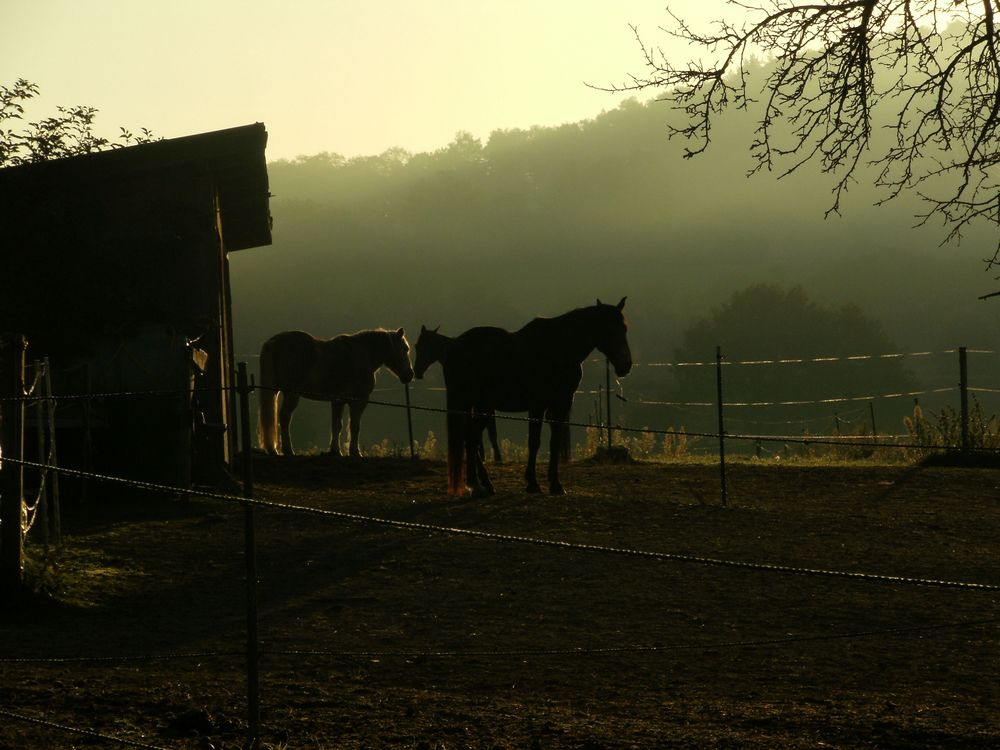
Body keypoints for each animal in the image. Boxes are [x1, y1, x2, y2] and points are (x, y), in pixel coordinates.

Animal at [260, 330, 416, 458]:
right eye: (405, 348)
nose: (409, 375)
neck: (362, 354)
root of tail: (275, 341)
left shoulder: (338, 401)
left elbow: (337, 425)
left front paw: (335, 451)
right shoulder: (359, 401)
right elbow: (355, 426)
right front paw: (355, 452)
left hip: (277, 392)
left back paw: (274, 450)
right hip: (292, 394)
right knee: (285, 417)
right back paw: (288, 450)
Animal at [414, 328, 504, 468]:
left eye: (421, 346)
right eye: (416, 346)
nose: (416, 371)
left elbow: (491, 431)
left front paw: (497, 458)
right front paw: (481, 456)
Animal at [444, 300, 628, 500]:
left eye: (625, 328)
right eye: (609, 329)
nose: (626, 365)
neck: (560, 349)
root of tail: (455, 346)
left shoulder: (561, 404)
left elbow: (555, 441)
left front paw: (555, 484)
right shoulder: (538, 406)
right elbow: (534, 442)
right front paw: (533, 483)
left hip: (478, 406)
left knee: (471, 438)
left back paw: (485, 484)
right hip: (479, 406)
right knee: (470, 439)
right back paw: (477, 486)